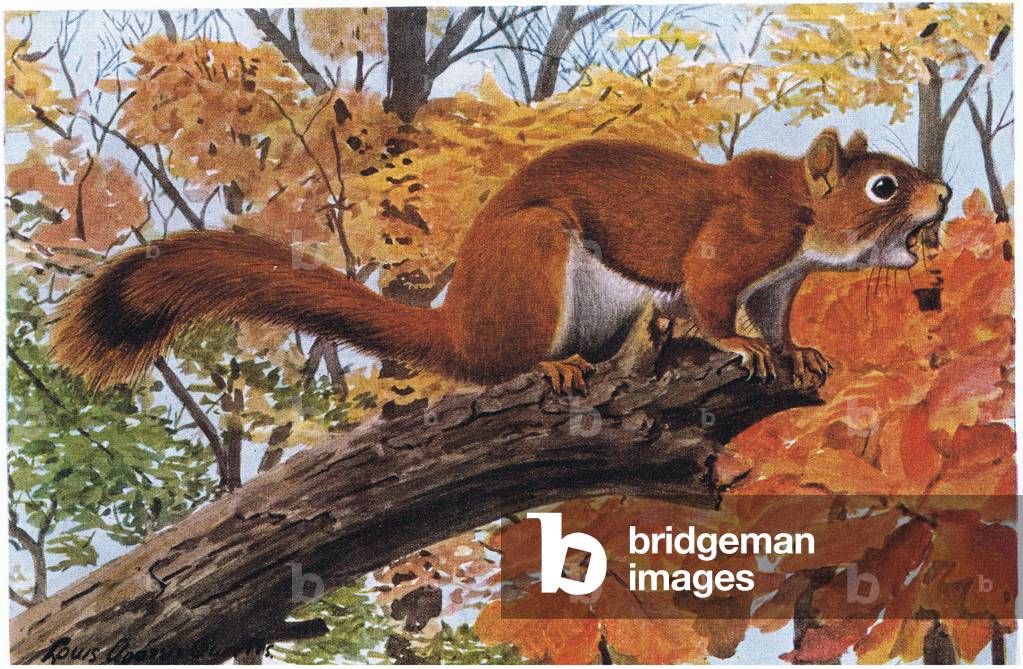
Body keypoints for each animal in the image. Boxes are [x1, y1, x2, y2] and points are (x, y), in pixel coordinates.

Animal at [51, 128, 950, 394]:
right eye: (882, 185)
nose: (943, 193)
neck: (797, 212)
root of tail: (458, 323)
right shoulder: (733, 244)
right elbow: (707, 296)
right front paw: (740, 346)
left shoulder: (778, 280)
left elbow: (773, 315)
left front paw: (795, 349)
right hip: (536, 255)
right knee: (506, 363)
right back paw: (546, 368)